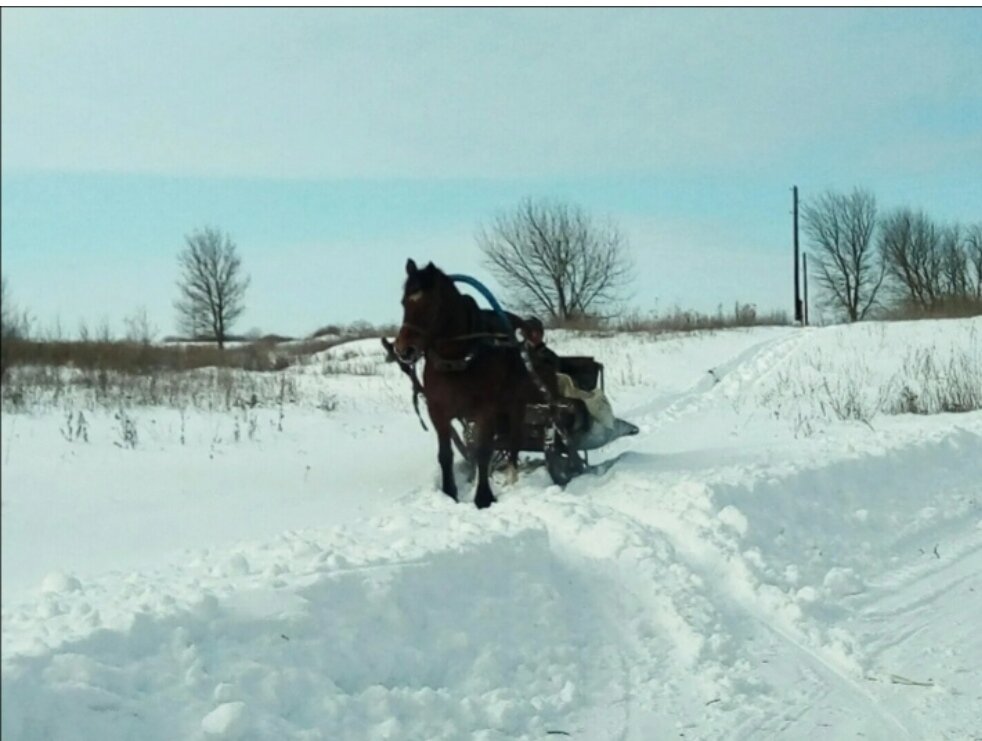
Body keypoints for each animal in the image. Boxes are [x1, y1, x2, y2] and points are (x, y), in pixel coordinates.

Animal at [392, 259, 556, 509]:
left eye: (430, 305)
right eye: (404, 302)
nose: (404, 350)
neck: (457, 359)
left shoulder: (485, 410)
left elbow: (483, 451)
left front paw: (483, 497)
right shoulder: (438, 411)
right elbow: (446, 454)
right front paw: (450, 493)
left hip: (515, 403)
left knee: (514, 440)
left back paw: (511, 478)